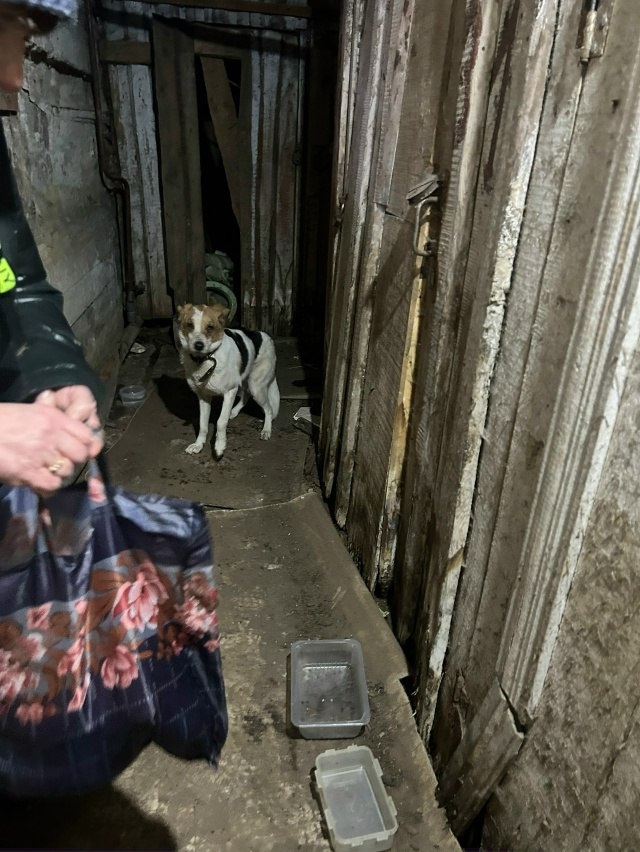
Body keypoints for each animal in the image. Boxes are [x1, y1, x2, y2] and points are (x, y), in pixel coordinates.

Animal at [176, 303, 280, 459]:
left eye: (210, 327)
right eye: (189, 325)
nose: (198, 345)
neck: (206, 358)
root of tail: (265, 335)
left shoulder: (230, 392)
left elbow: (220, 422)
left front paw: (219, 446)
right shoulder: (204, 397)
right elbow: (203, 424)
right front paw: (198, 445)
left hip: (256, 387)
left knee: (268, 409)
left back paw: (266, 430)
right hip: (246, 382)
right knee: (245, 395)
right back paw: (234, 412)